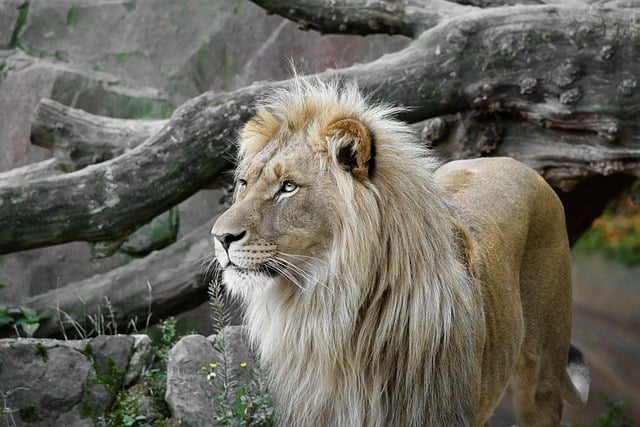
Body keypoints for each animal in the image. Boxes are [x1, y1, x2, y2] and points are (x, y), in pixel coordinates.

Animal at [210, 78, 590, 426]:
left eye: (288, 187)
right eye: (244, 183)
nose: (220, 237)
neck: (330, 315)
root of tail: (515, 163)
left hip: (542, 378)